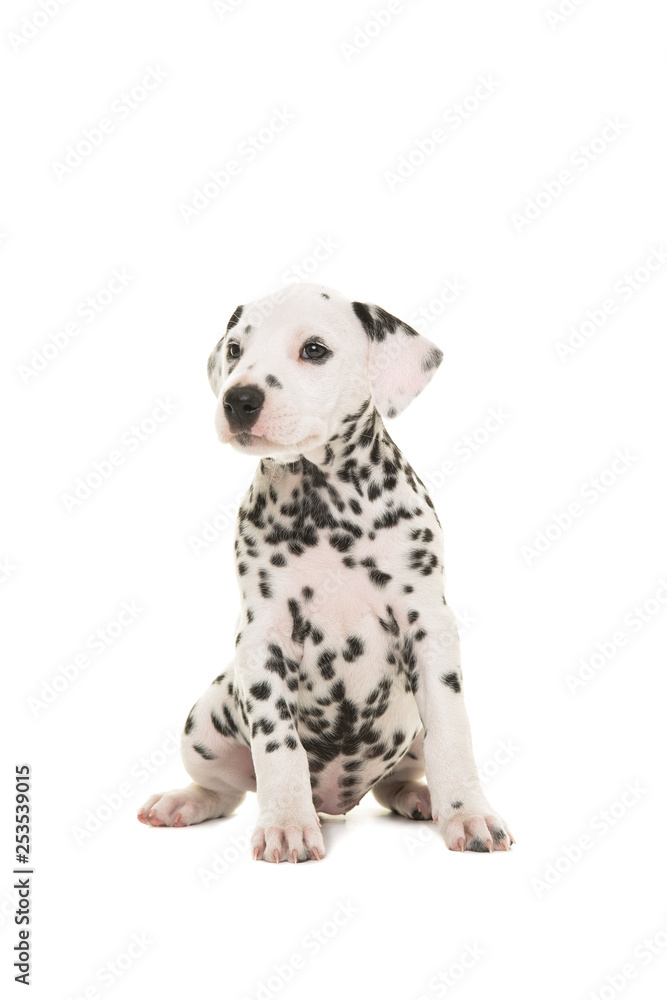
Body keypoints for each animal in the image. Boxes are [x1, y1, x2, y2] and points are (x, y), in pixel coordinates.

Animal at [138, 280, 516, 860]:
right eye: (235, 350)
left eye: (314, 350)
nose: (238, 400)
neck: (327, 504)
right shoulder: (263, 638)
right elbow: (278, 745)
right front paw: (287, 824)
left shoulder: (430, 628)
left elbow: (453, 735)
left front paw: (469, 814)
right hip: (204, 723)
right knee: (226, 790)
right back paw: (185, 801)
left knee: (395, 779)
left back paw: (420, 796)